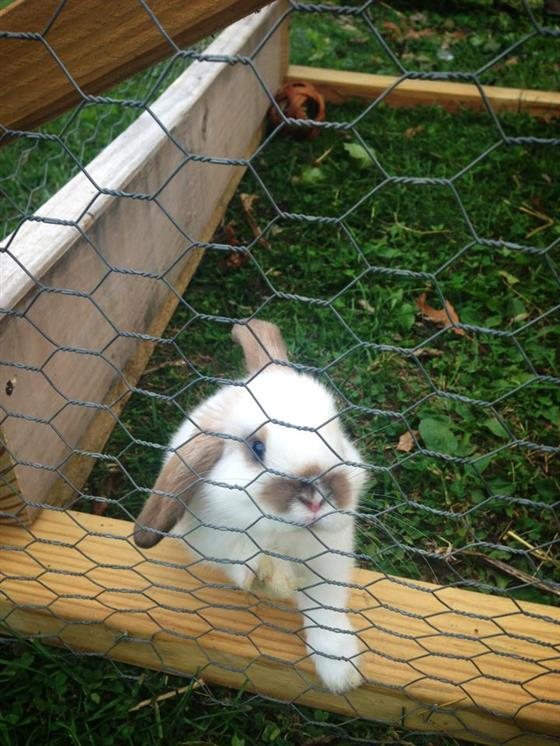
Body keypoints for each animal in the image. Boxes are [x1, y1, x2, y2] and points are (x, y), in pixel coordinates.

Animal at [133, 319, 367, 693]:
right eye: (257, 448)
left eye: (338, 439)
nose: (316, 497)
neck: (283, 536)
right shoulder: (220, 540)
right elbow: (247, 562)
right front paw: (275, 579)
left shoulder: (329, 561)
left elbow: (326, 611)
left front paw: (342, 673)